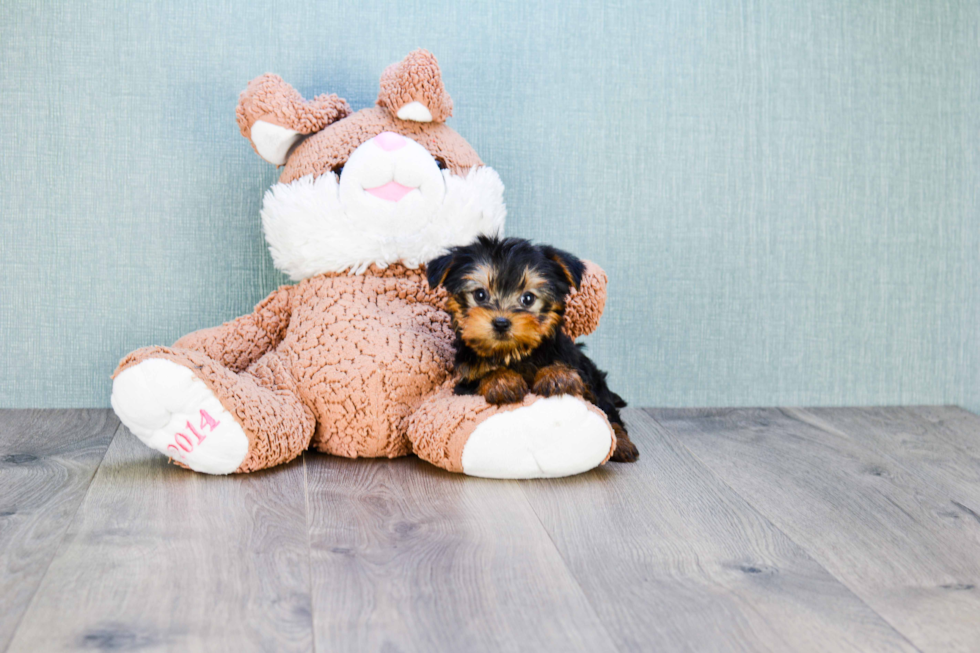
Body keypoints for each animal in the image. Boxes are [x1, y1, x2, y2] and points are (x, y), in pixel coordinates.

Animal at [424, 237, 640, 460]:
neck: (513, 353)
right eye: (480, 295)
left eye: (528, 298)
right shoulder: (464, 382)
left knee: (609, 411)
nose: (501, 323)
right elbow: (482, 377)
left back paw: (621, 444)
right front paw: (502, 381)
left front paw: (557, 375)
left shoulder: (578, 369)